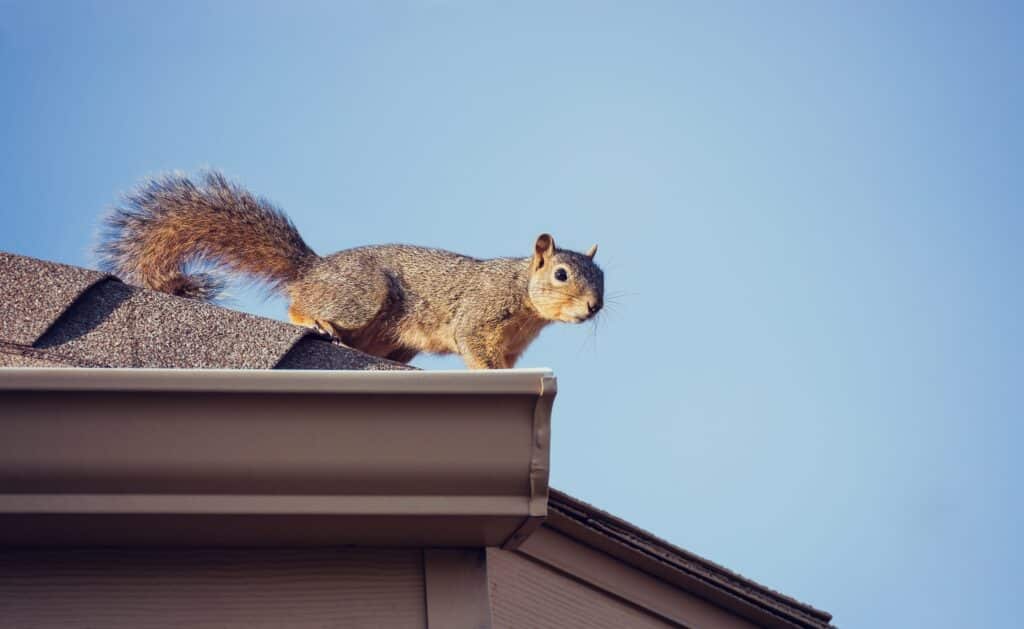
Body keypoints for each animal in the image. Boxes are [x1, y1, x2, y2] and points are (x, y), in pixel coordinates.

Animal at [96, 171, 602, 368]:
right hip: (362, 296)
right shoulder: (479, 314)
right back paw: (315, 320)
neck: (523, 295)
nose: (594, 307)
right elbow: (473, 345)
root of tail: (314, 269)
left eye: (602, 279)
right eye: (561, 274)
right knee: (298, 305)